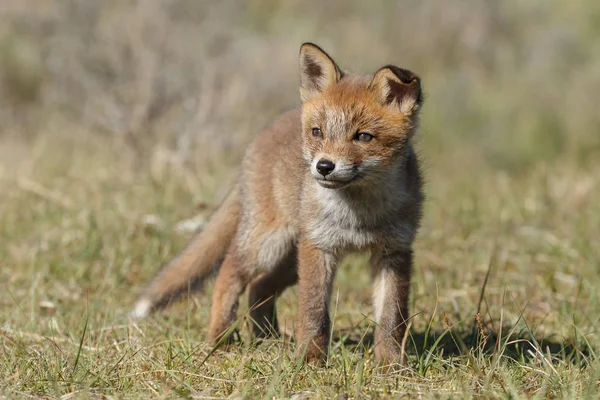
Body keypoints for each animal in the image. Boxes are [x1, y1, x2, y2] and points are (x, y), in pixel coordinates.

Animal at [132, 42, 422, 364]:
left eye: (363, 136)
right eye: (318, 132)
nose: (324, 166)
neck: (360, 214)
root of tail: (264, 132)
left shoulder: (394, 251)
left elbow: (391, 319)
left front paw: (391, 365)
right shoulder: (319, 247)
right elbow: (314, 314)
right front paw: (310, 362)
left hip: (290, 258)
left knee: (258, 287)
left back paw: (267, 338)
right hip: (268, 245)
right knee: (229, 272)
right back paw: (221, 339)